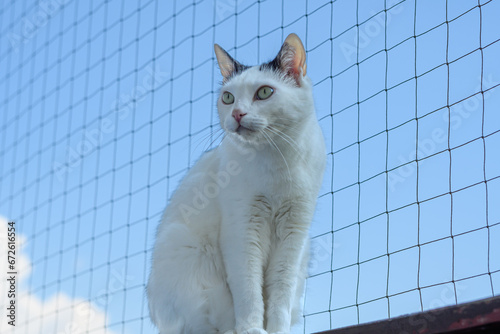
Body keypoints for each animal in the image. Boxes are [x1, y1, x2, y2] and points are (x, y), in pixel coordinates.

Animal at [146, 34, 326, 334]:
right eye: (228, 98)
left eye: (264, 92)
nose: (237, 114)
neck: (276, 162)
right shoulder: (242, 230)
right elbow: (249, 289)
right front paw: (252, 328)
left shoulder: (294, 233)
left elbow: (280, 291)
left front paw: (277, 330)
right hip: (185, 253)